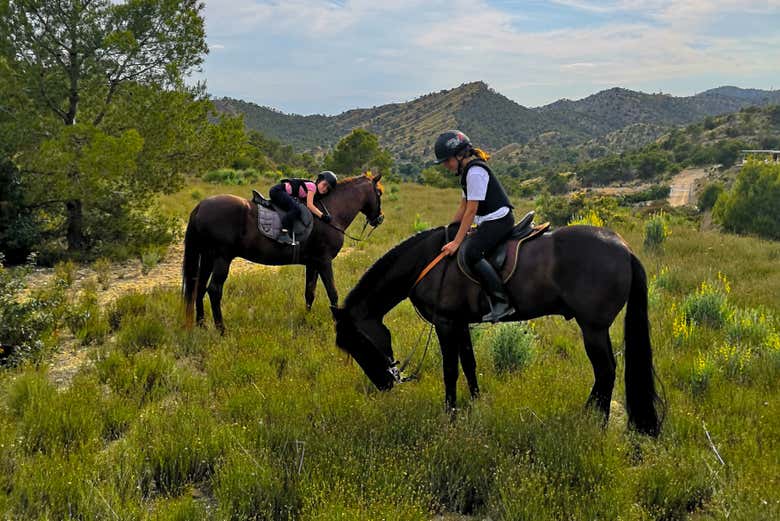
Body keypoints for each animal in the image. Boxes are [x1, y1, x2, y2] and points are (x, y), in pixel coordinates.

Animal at [183, 173, 384, 333]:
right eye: (379, 193)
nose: (380, 218)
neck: (330, 213)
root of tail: (201, 206)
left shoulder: (312, 263)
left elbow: (309, 292)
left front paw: (306, 318)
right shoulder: (324, 261)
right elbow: (332, 293)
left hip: (208, 257)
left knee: (199, 286)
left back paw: (201, 324)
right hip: (222, 259)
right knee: (214, 290)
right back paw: (221, 330)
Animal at [331, 224, 664, 436]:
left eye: (357, 343)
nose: (384, 383)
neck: (427, 261)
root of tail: (624, 249)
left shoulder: (446, 323)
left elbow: (450, 370)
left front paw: (450, 415)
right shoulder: (460, 323)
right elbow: (469, 364)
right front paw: (476, 403)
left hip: (592, 328)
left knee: (606, 371)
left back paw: (596, 423)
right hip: (596, 329)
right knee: (606, 372)